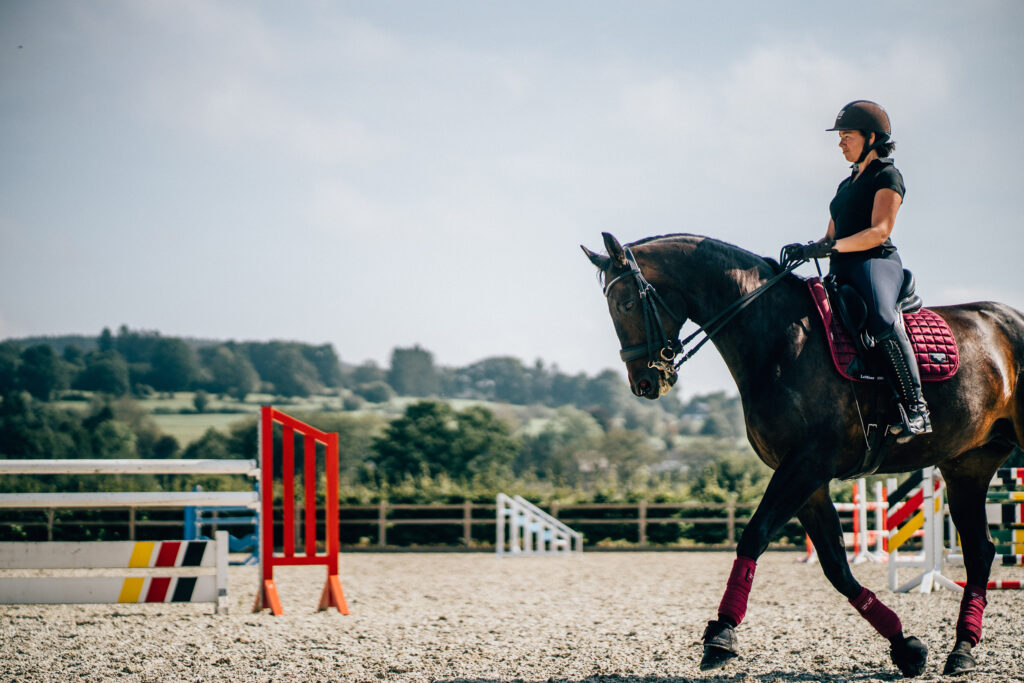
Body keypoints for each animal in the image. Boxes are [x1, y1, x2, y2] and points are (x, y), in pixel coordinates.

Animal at [581, 233, 1019, 679]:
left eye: (627, 304)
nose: (645, 383)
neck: (776, 338)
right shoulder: (807, 479)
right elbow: (836, 566)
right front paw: (906, 646)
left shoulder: (806, 466)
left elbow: (754, 535)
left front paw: (720, 636)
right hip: (968, 465)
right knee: (979, 551)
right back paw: (962, 650)